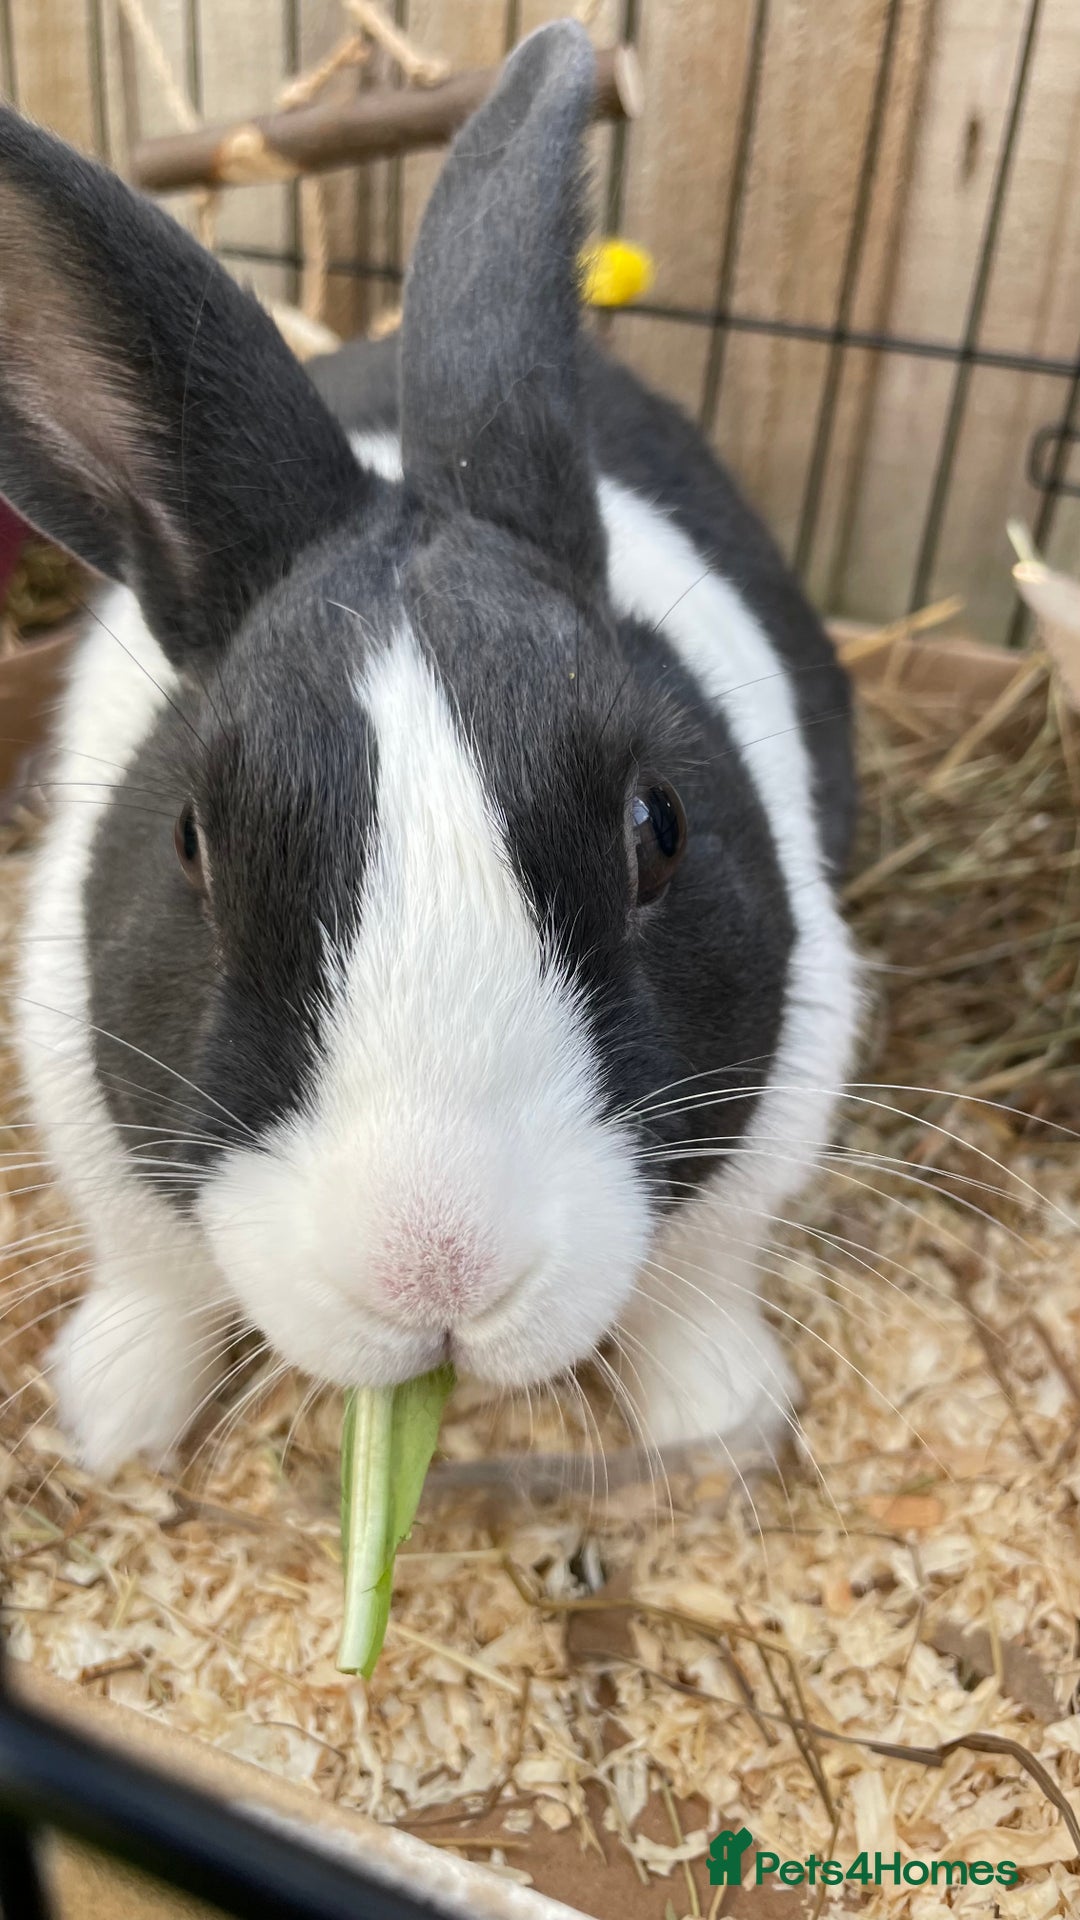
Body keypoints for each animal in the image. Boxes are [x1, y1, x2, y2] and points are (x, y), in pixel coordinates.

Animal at [0, 20, 859, 1477]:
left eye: (659, 829)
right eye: (194, 846)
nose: (436, 1269)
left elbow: (700, 1278)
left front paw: (723, 1426)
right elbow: (151, 1277)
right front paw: (110, 1421)